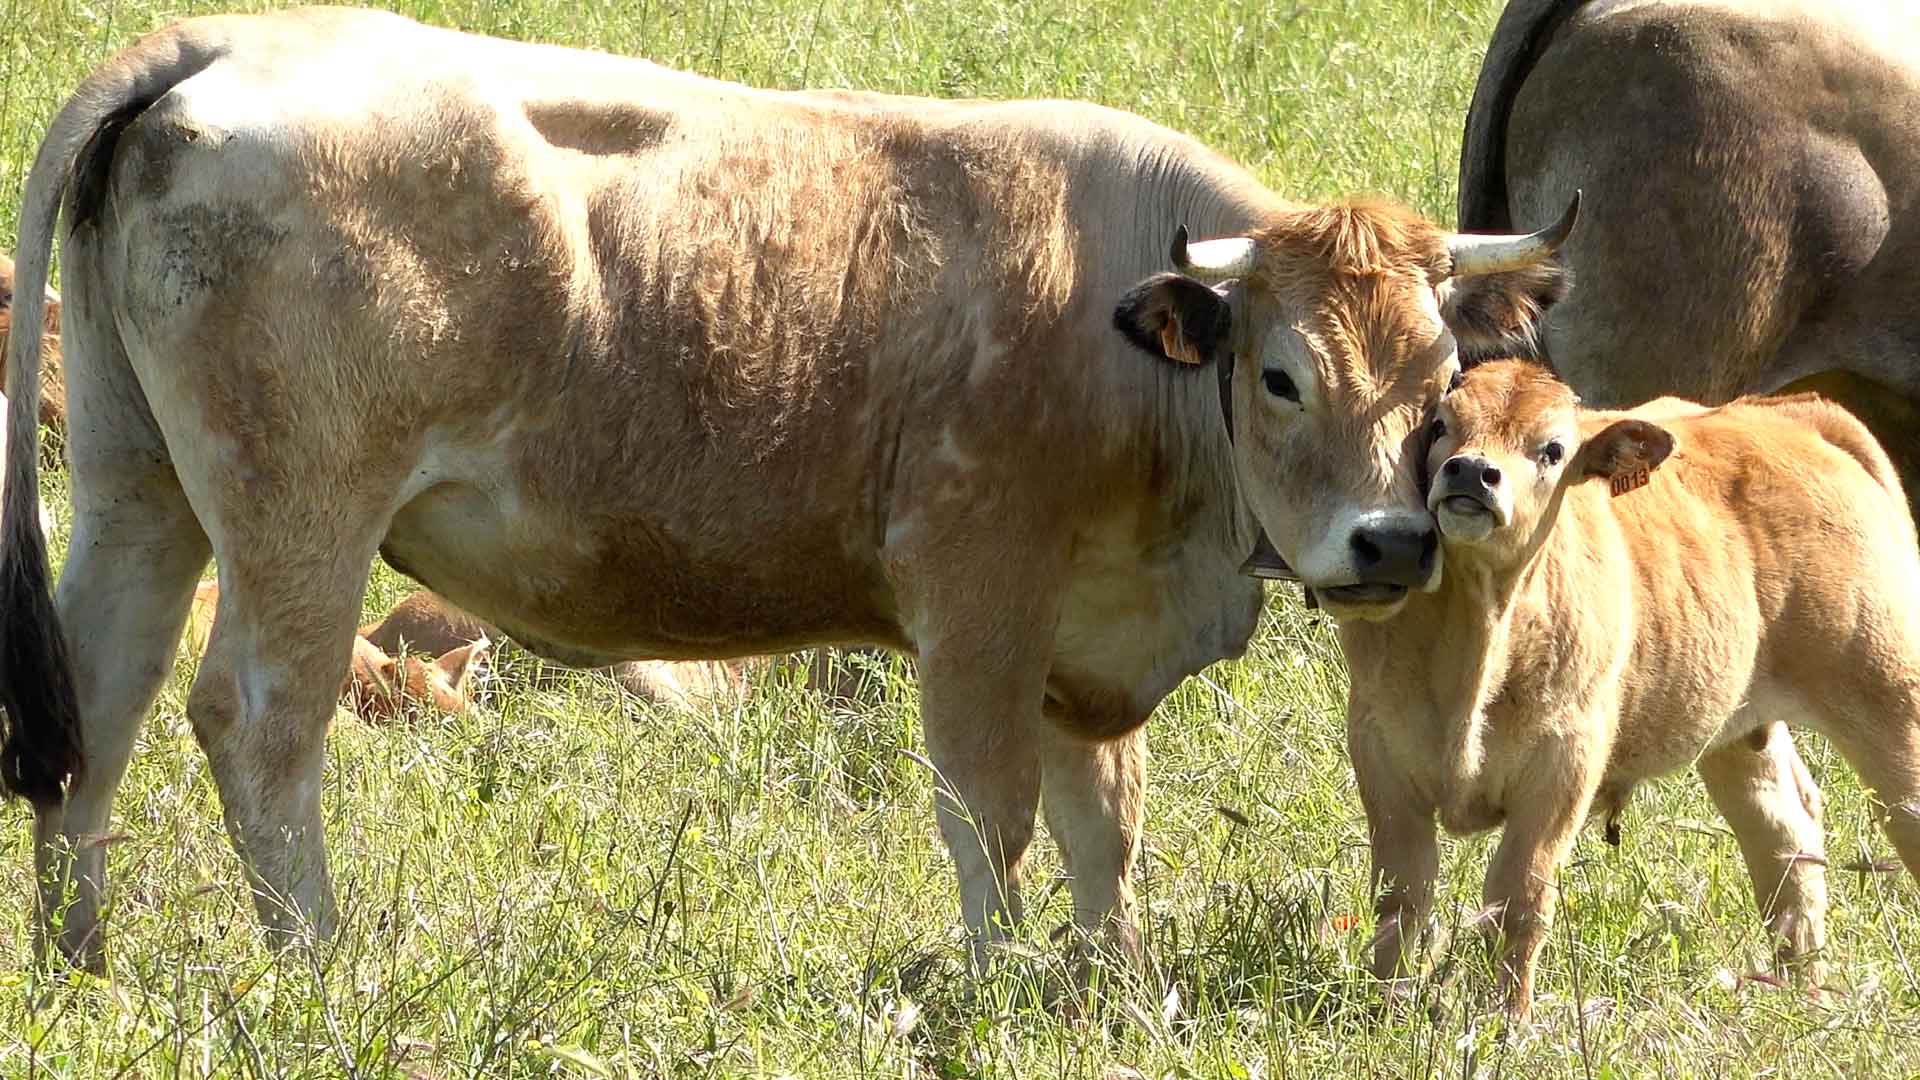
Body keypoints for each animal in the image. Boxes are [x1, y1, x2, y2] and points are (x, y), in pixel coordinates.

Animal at [0, 6, 1574, 968]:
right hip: (300, 520)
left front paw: (1111, 988)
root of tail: (227, 40)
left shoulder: (1086, 637)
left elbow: (1106, 826)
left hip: (143, 495)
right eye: (1281, 375)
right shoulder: (975, 599)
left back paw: (86, 967)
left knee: (103, 695)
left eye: (1442, 373)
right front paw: (1003, 990)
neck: (1116, 324)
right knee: (258, 721)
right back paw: (320, 970)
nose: (1389, 543)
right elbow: (991, 813)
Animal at [1336, 359, 1920, 1014]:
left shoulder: (1565, 764)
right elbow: (1402, 896)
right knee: (1783, 832)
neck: (1478, 637)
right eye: (1441, 426)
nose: (1471, 471)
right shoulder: (1382, 752)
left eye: (1553, 448)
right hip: (1740, 732)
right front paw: (1386, 1010)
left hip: (1888, 696)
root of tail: (1793, 415)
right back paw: (1803, 993)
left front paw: (1507, 1019)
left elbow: (1519, 898)